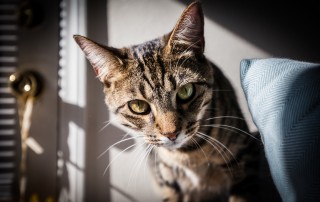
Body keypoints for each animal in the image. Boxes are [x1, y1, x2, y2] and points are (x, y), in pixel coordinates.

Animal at [74, 1, 278, 202]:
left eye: (185, 91)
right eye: (138, 106)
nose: (171, 134)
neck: (188, 156)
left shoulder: (245, 161)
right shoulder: (166, 182)